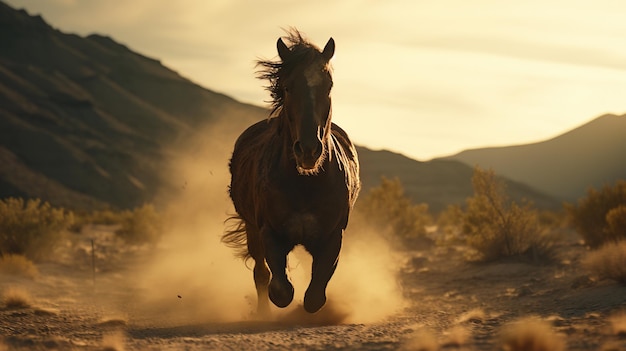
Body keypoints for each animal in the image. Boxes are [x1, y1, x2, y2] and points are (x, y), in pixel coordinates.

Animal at [224, 30, 360, 314]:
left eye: (328, 86)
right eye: (287, 87)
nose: (308, 150)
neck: (305, 185)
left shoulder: (333, 237)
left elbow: (315, 295)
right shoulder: (269, 232)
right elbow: (280, 288)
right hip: (251, 229)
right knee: (260, 273)